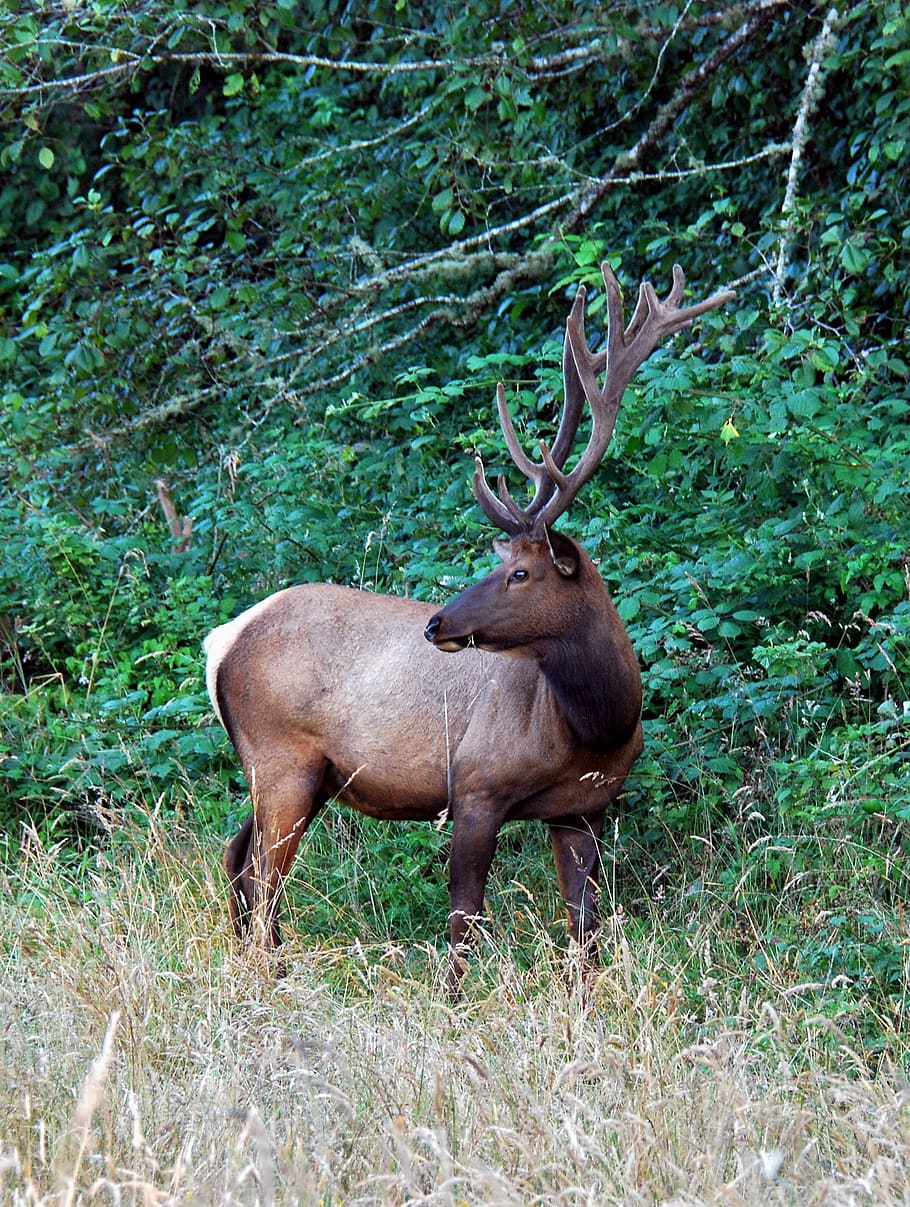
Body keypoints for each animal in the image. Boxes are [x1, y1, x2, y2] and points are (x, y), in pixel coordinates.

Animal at [205, 259, 728, 984]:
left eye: (519, 573)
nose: (436, 623)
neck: (598, 724)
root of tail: (222, 641)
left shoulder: (584, 810)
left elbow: (585, 928)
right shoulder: (477, 786)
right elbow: (463, 921)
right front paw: (453, 1004)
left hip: (290, 774)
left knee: (237, 860)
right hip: (280, 757)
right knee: (260, 876)